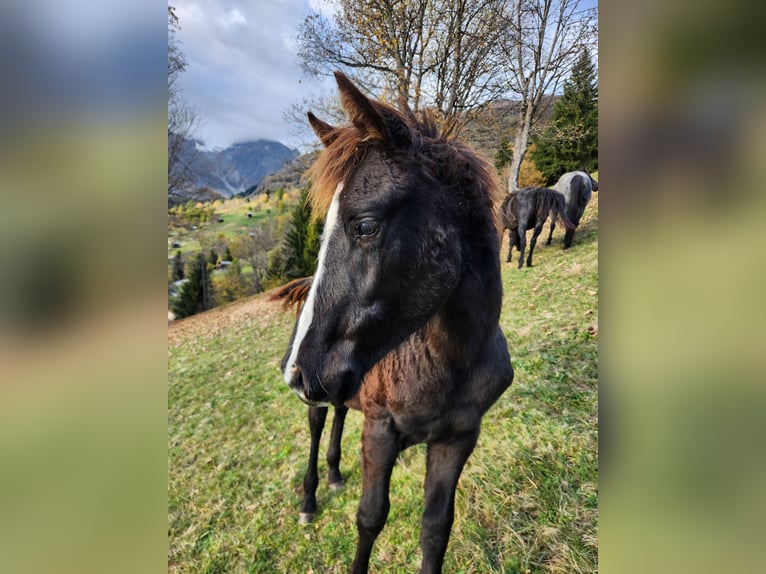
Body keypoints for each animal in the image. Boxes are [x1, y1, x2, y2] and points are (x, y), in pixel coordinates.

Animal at [278, 73, 516, 574]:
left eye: (365, 225)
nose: (300, 372)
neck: (451, 361)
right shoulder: (380, 431)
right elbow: (370, 518)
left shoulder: (457, 438)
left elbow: (436, 529)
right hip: (322, 401)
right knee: (317, 426)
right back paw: (310, 499)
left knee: (337, 416)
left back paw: (334, 474)